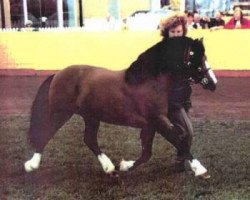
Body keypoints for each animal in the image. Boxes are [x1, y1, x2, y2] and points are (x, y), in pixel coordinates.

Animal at [24, 36, 218, 178]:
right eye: (196, 58)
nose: (213, 83)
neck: (149, 82)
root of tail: (57, 74)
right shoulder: (158, 121)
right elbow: (177, 140)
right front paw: (200, 170)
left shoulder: (151, 124)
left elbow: (147, 153)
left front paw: (125, 166)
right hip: (61, 113)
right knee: (45, 133)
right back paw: (31, 165)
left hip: (91, 116)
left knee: (89, 139)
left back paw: (110, 168)